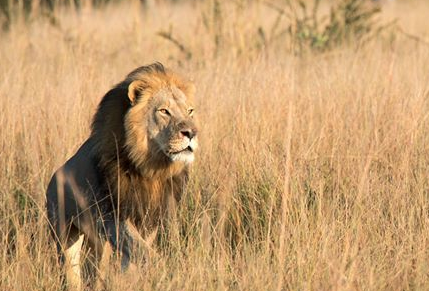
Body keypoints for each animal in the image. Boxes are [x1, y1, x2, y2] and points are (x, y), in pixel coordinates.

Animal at [45, 62, 197, 290]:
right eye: (164, 111)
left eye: (190, 111)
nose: (192, 133)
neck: (151, 167)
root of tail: (54, 178)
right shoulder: (112, 215)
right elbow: (140, 249)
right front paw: (164, 270)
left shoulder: (151, 216)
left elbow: (134, 254)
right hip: (64, 231)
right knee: (72, 267)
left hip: (97, 242)